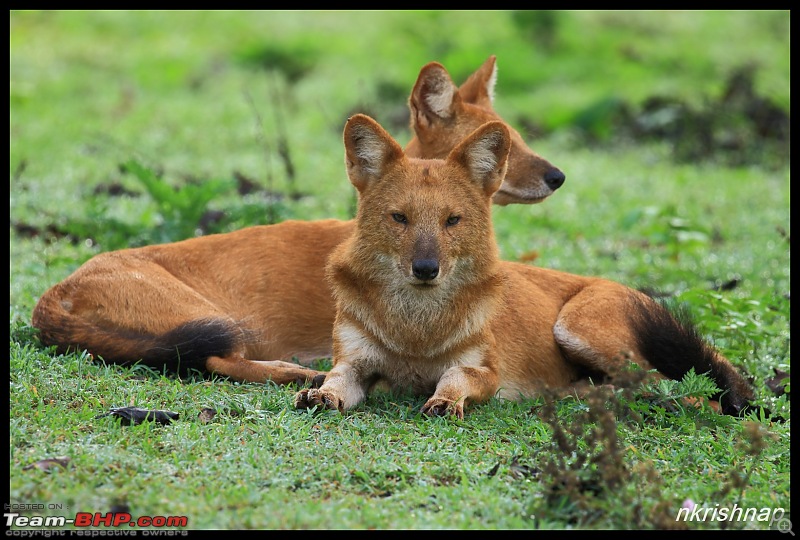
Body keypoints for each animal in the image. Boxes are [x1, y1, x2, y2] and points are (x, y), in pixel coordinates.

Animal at [296, 114, 756, 418]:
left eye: (452, 220)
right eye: (399, 218)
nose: (426, 268)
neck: (415, 328)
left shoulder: (485, 370)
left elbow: (454, 379)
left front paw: (444, 400)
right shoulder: (354, 362)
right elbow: (335, 378)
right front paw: (321, 394)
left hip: (579, 327)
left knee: (682, 390)